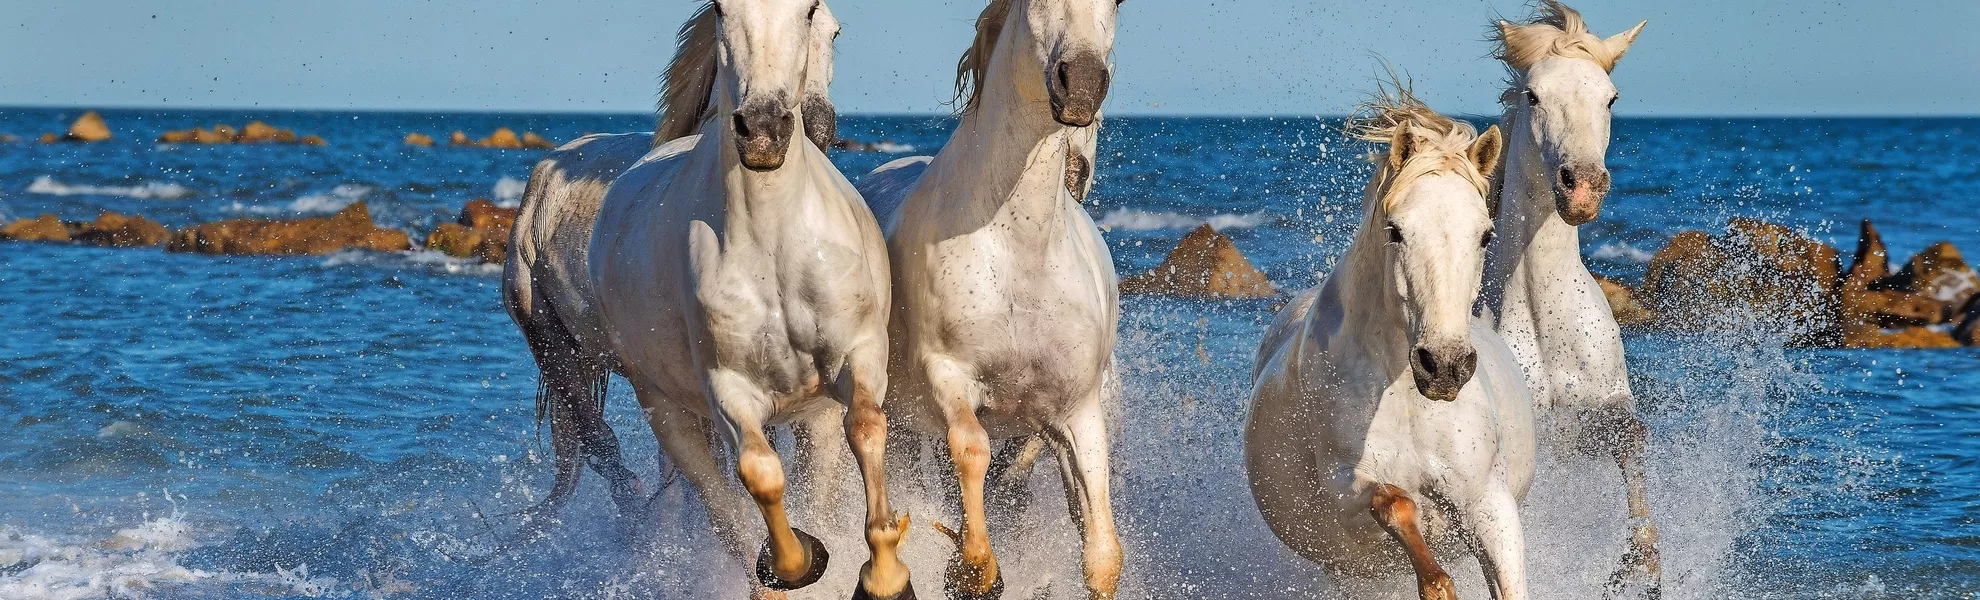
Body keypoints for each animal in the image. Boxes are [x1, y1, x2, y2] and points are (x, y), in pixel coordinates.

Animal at [582, 2, 914, 598]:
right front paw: (801, 560)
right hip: (668, 411)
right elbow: (759, 474)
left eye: (818, 16)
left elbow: (867, 428)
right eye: (721, 9)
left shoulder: (858, 356)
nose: (763, 130)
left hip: (812, 417)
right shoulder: (728, 387)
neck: (774, 240)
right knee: (723, 504)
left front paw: (887, 574)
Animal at [859, 0, 1124, 598]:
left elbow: (1101, 552)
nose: (1082, 84)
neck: (1019, 249)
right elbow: (971, 448)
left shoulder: (1078, 411)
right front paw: (973, 565)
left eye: (1119, 5)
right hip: (901, 424)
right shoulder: (947, 374)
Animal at [1243, 89, 1536, 600]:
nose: (1444, 366)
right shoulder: (1346, 495)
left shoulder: (1488, 502)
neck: (1404, 396)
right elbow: (1398, 506)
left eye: (1485, 234)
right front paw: (1437, 584)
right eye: (1396, 230)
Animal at [1488, 2, 1655, 598]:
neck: (1544, 319)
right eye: (1533, 95)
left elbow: (1632, 441)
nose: (1582, 185)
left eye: (1610, 98)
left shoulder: (1601, 412)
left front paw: (1641, 566)